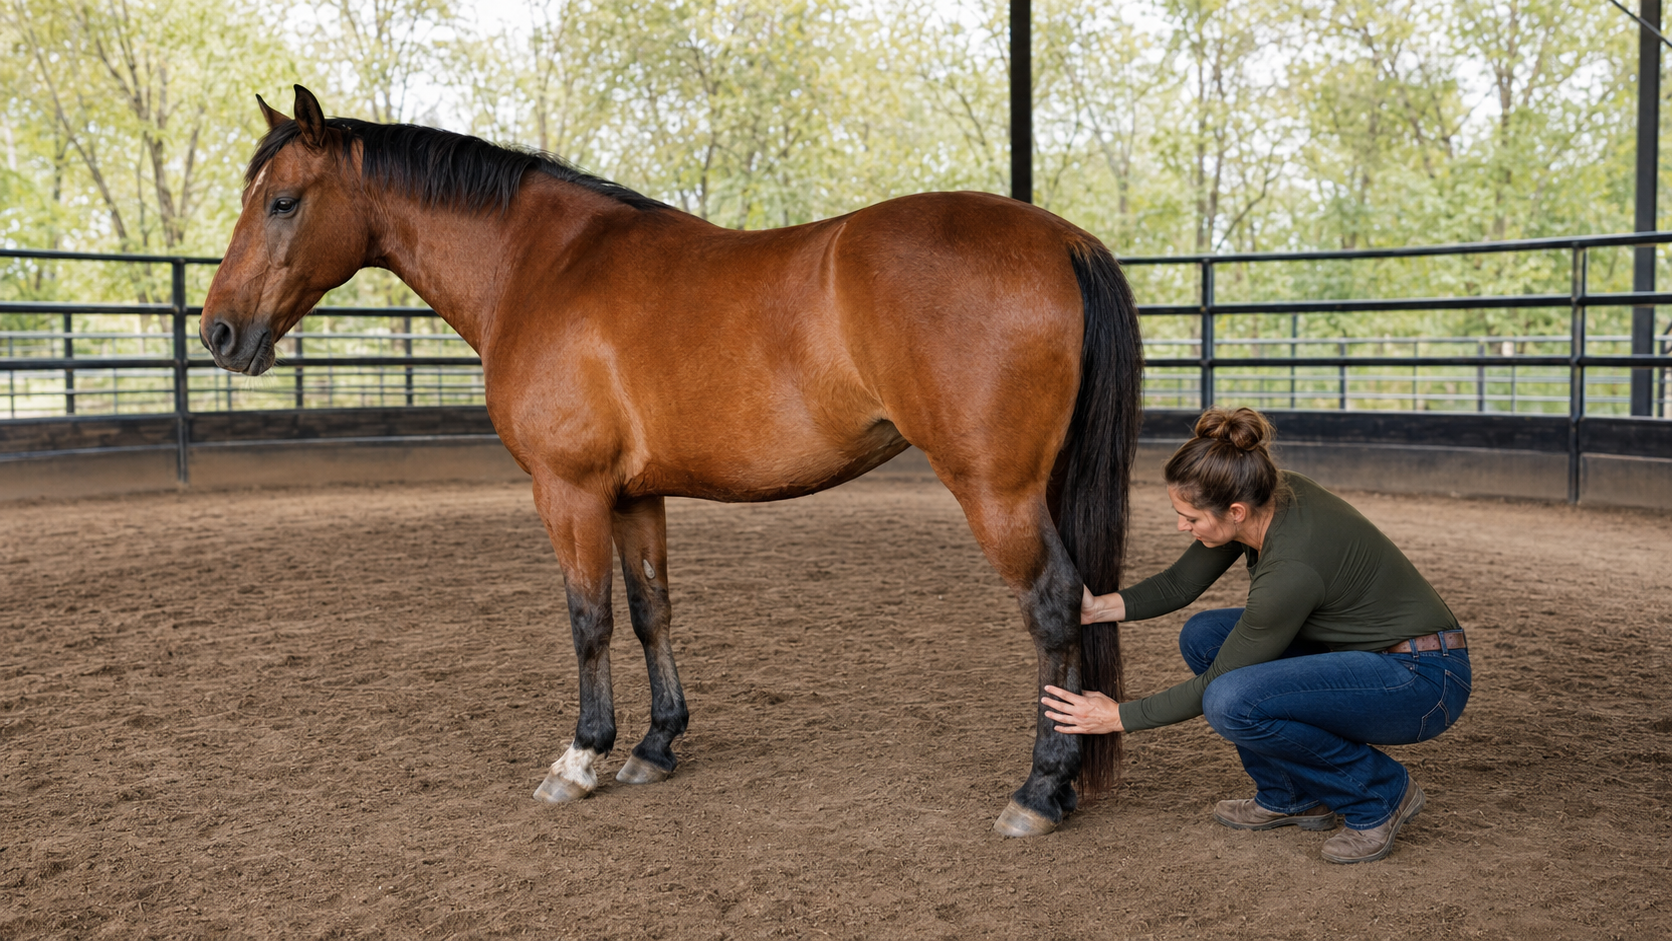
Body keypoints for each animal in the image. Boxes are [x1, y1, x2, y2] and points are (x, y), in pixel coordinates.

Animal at [202, 85, 1143, 837]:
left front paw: (580, 757)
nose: (218, 332)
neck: (542, 266)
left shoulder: (569, 492)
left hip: (997, 492)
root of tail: (1064, 240)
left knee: (1054, 605)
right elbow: (651, 610)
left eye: (282, 201)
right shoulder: (633, 496)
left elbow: (588, 620)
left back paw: (1039, 789)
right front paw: (655, 745)